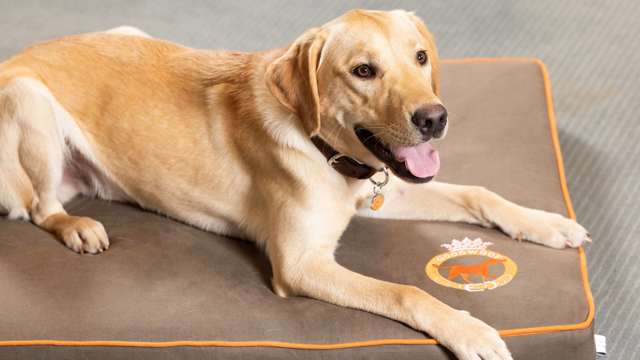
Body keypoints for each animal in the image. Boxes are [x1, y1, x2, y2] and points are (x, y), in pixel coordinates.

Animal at [1, 9, 592, 358]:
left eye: (421, 57)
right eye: (363, 71)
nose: (434, 118)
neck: (327, 151)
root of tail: (16, 55)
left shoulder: (384, 189)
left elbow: (478, 192)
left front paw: (545, 222)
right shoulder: (301, 264)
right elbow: (405, 291)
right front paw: (469, 330)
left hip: (128, 32)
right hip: (30, 100)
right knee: (40, 208)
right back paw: (77, 226)